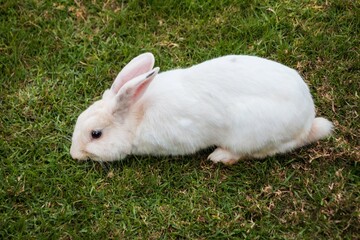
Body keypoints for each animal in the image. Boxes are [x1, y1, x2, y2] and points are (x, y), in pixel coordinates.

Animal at [69, 52, 332, 165]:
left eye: (96, 134)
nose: (74, 154)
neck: (137, 114)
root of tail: (307, 123)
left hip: (251, 136)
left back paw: (219, 156)